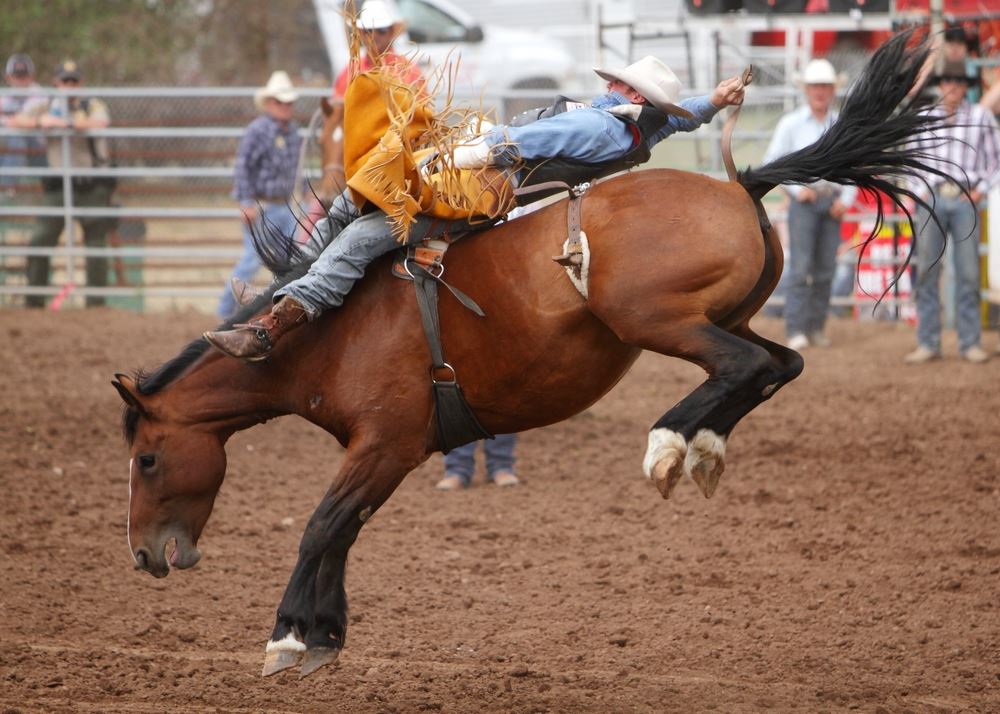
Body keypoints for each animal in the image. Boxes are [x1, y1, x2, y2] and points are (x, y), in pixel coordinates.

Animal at [114, 33, 949, 678]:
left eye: (148, 459)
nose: (146, 557)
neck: (331, 330)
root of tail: (744, 185)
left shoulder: (384, 442)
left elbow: (323, 525)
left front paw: (287, 639)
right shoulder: (391, 451)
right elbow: (346, 530)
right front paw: (325, 636)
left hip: (657, 318)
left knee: (747, 368)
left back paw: (667, 445)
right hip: (725, 318)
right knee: (779, 364)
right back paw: (702, 448)